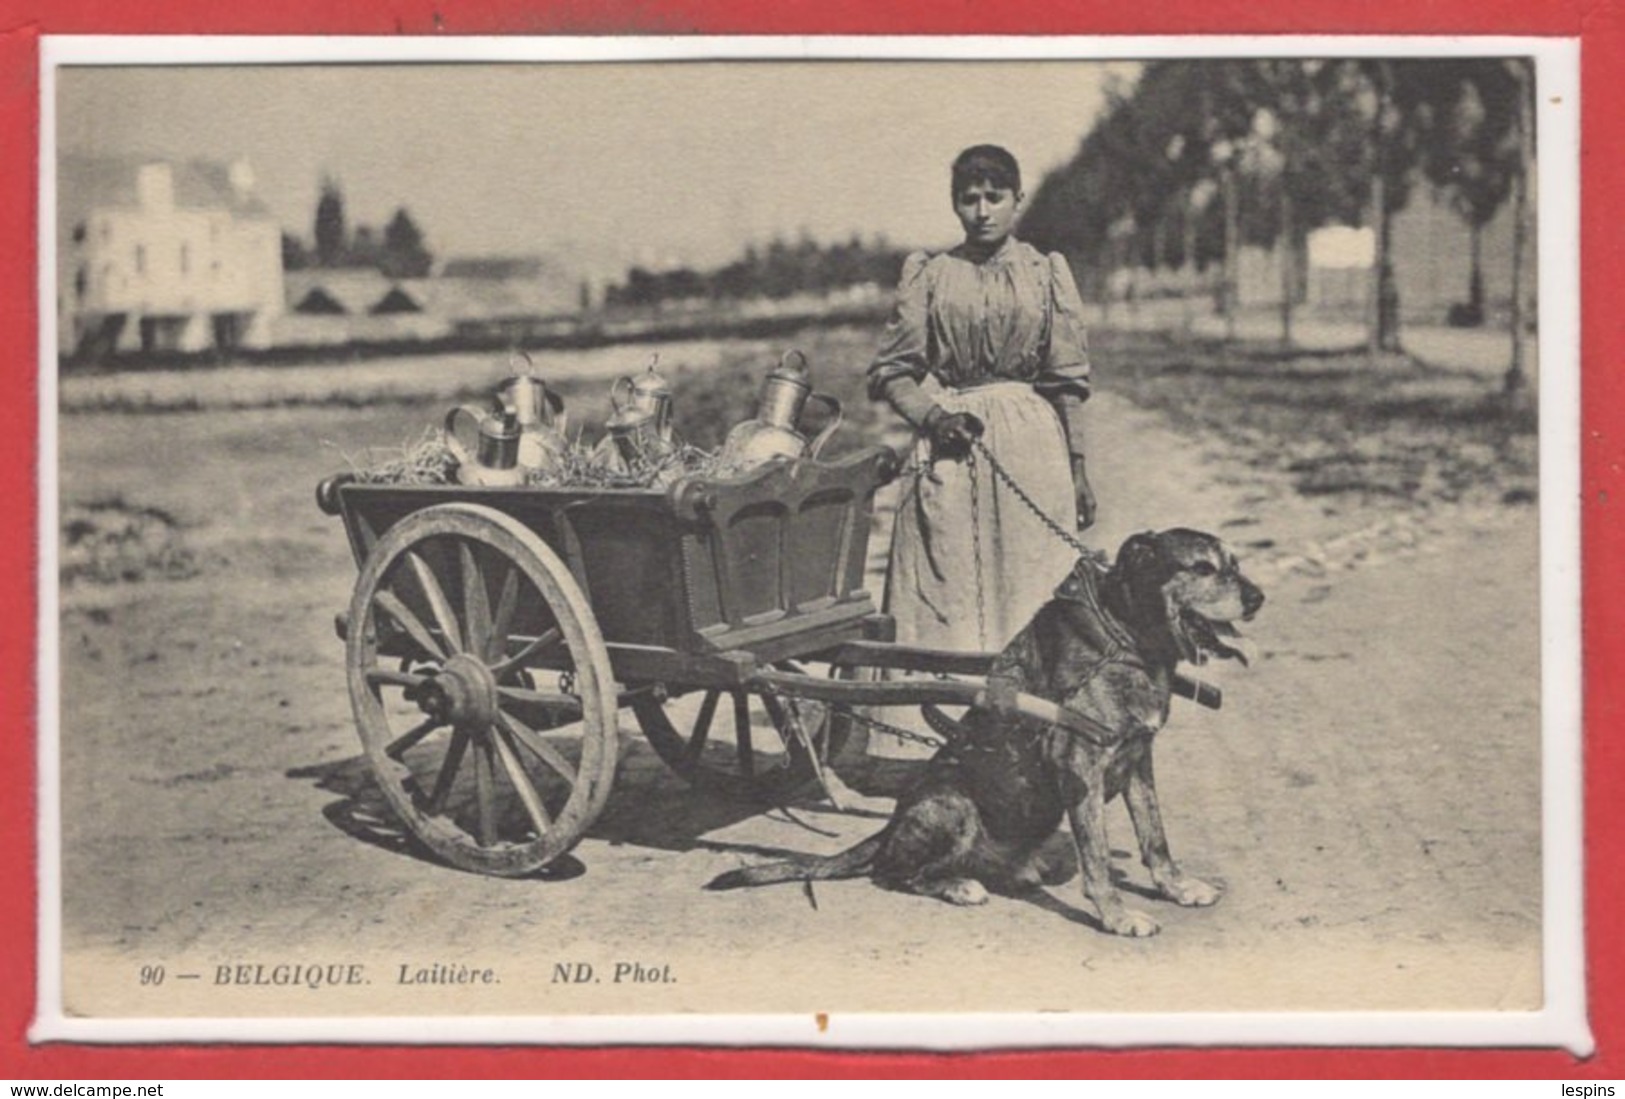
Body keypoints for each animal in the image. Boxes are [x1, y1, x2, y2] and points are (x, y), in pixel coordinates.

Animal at [715, 529, 1267, 936]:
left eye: (1235, 563)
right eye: (1202, 568)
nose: (1259, 597)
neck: (1125, 638)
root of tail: (890, 827)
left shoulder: (1137, 759)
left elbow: (1156, 837)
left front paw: (1177, 886)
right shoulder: (1081, 764)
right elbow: (1097, 859)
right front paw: (1116, 916)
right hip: (952, 805)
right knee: (893, 874)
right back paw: (958, 886)